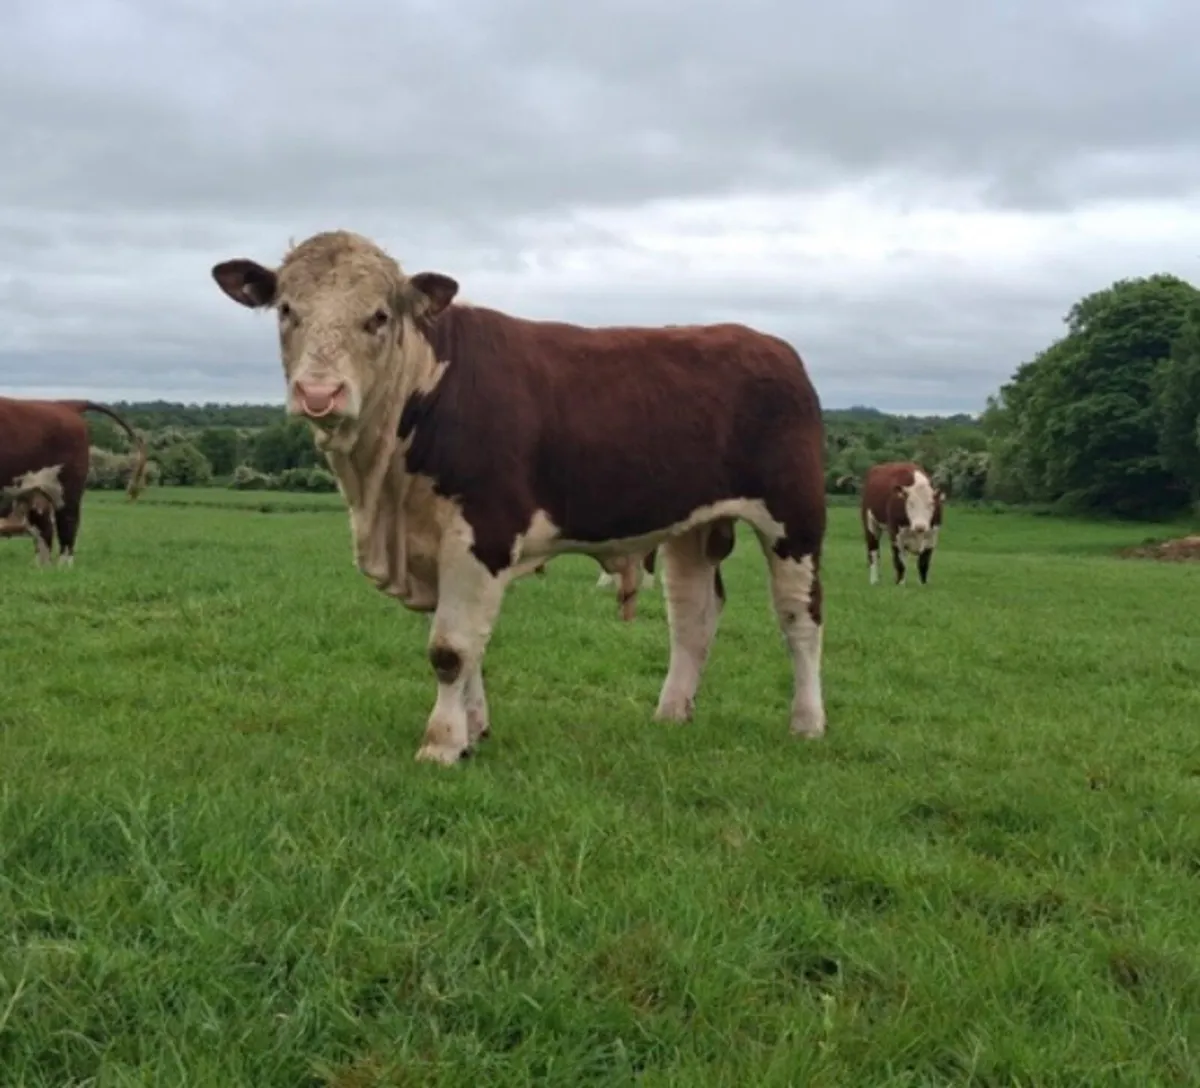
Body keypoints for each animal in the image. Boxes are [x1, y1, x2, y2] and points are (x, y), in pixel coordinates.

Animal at [0, 397, 148, 567]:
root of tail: (64, 405)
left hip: (68, 487)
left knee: (67, 523)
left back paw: (62, 566)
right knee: (45, 532)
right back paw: (40, 566)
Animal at [210, 229, 827, 765]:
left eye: (378, 316)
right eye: (288, 310)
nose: (319, 392)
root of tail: (769, 345)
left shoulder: (482, 530)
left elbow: (452, 648)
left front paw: (440, 744)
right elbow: (472, 648)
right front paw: (473, 732)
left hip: (794, 518)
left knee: (800, 617)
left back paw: (807, 723)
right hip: (692, 525)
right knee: (693, 615)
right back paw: (672, 713)